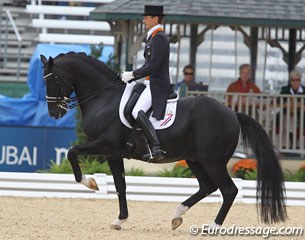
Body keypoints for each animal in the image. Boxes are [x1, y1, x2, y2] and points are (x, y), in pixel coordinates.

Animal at [39, 52, 284, 231]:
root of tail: (233, 113)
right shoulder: (113, 153)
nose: (53, 113)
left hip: (213, 160)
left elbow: (72, 152)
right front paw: (120, 220)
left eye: (54, 80)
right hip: (194, 158)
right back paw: (177, 216)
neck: (104, 98)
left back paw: (213, 226)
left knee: (228, 190)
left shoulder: (105, 145)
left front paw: (90, 182)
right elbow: (120, 185)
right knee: (208, 186)